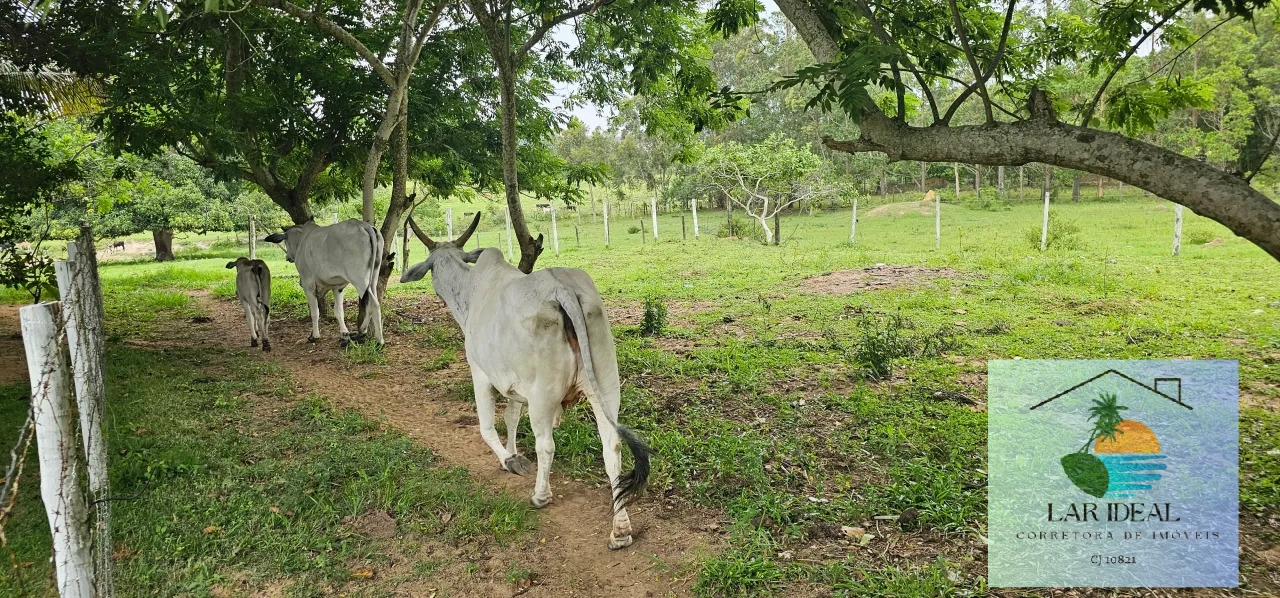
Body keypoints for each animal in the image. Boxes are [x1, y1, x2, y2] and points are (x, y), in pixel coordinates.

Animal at [401, 215, 650, 553]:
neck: (471, 291)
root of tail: (563, 289)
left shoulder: (481, 372)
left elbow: (487, 427)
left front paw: (509, 460)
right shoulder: (517, 387)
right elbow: (510, 418)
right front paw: (512, 453)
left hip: (543, 395)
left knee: (546, 445)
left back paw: (541, 495)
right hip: (606, 385)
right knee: (612, 446)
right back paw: (621, 529)